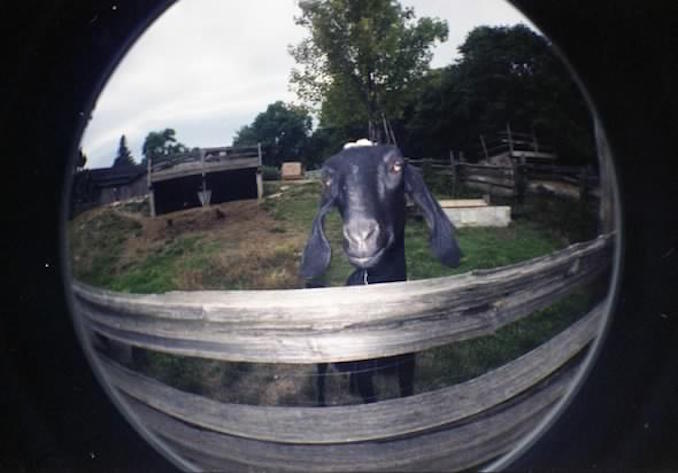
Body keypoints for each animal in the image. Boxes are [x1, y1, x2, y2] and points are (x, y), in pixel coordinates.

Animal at [302, 143, 464, 402]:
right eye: (327, 178)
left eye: (397, 165)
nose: (360, 236)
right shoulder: (365, 368)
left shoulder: (407, 362)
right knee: (321, 378)